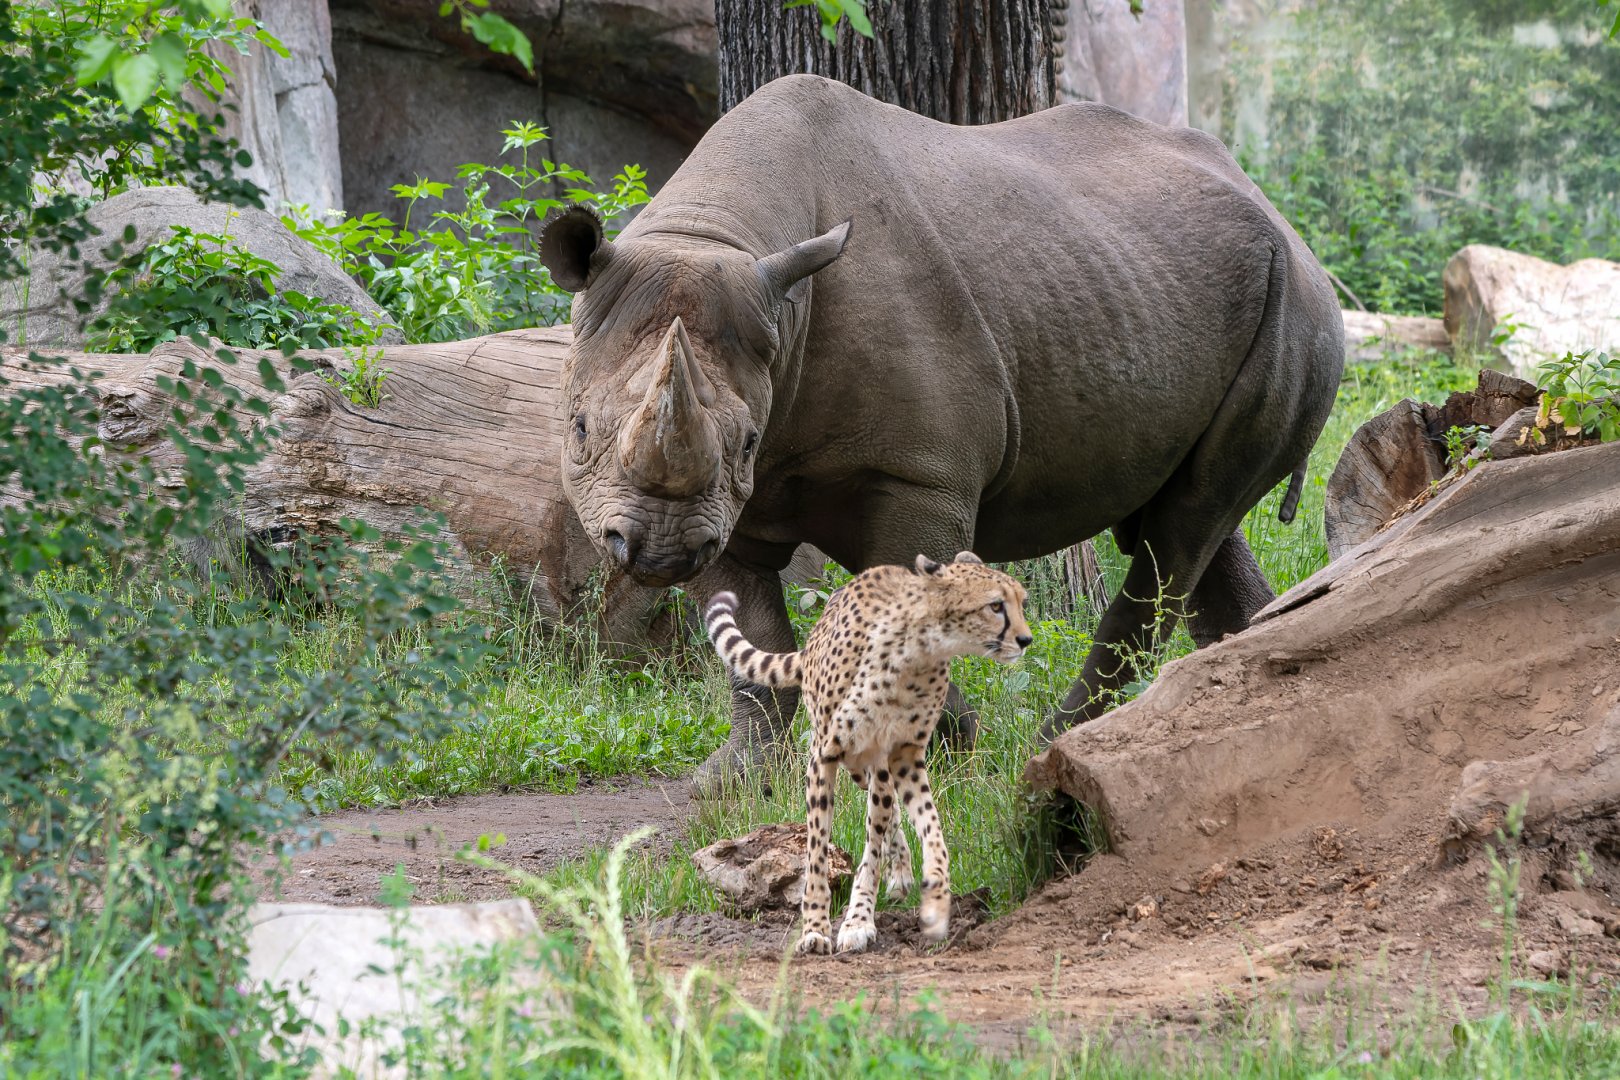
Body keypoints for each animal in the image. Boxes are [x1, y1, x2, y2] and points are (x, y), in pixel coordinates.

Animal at [540, 74, 1344, 796]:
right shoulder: (731, 503)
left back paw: (1057, 744)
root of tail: (1278, 212)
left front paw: (940, 753)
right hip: (1179, 286)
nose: (657, 551)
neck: (721, 233)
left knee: (1185, 526)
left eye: (743, 441)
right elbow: (754, 639)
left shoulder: (917, 474)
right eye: (577, 430)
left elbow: (907, 611)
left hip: (1298, 311)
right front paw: (732, 781)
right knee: (1192, 517)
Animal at [705, 551, 1032, 955]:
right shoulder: (824, 756)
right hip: (852, 759)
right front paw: (815, 927)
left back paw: (900, 875)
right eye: (996, 605)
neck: (916, 652)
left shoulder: (902, 756)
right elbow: (817, 850)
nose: (1026, 639)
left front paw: (906, 908)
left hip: (870, 765)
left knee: (888, 816)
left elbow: (917, 832)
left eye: (1021, 602)